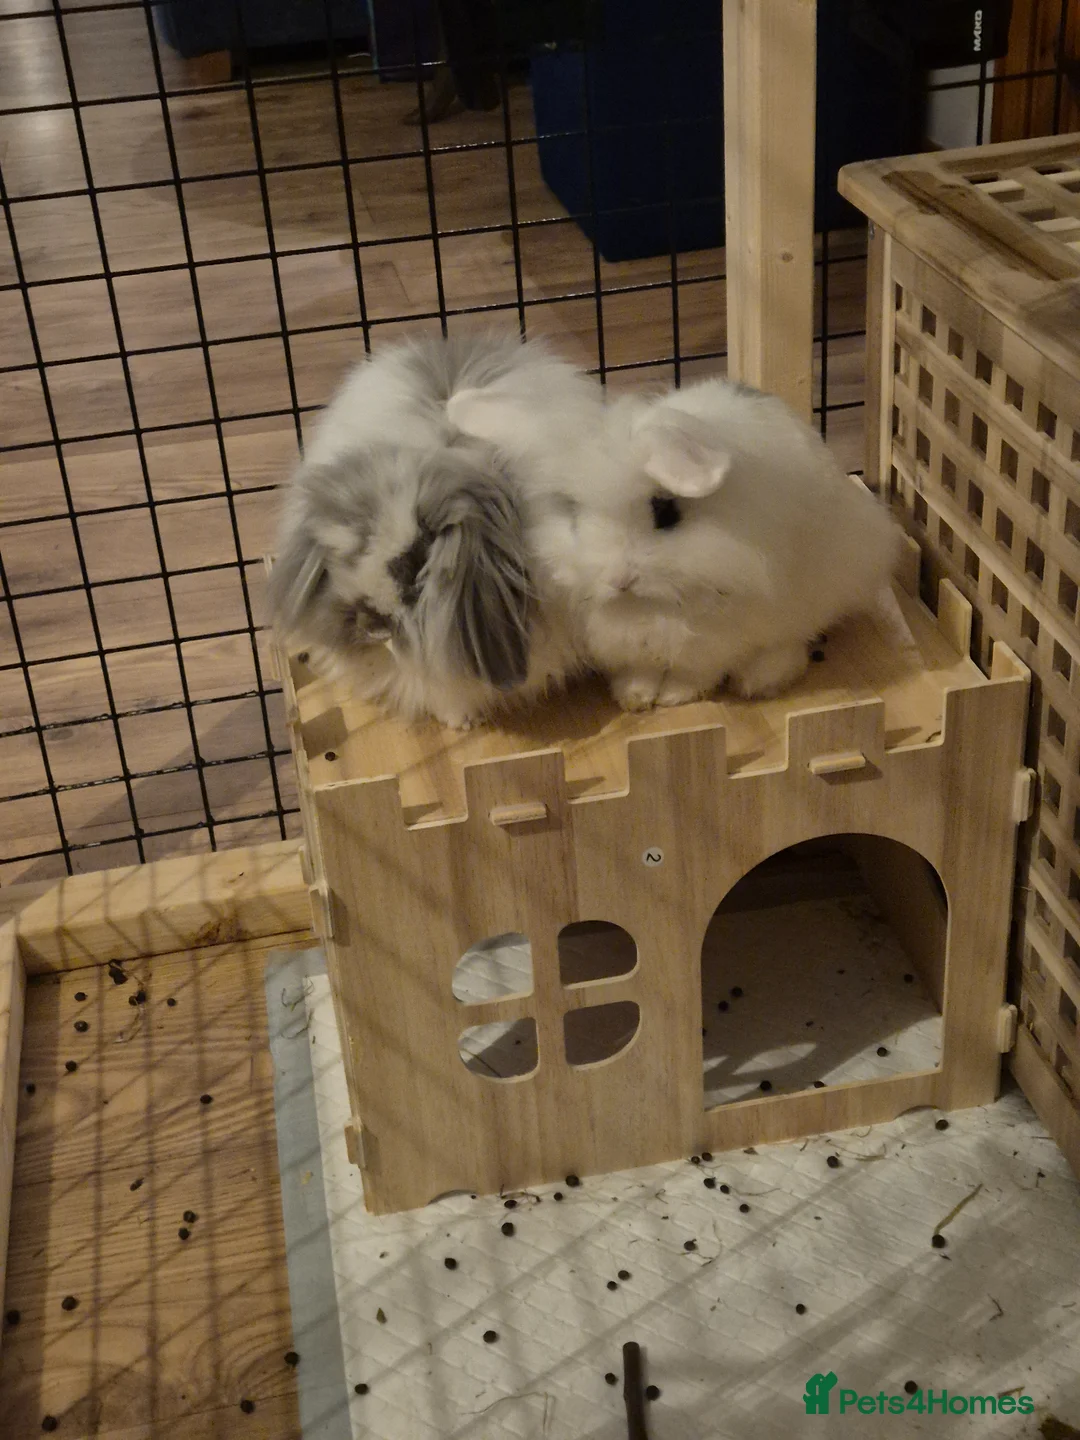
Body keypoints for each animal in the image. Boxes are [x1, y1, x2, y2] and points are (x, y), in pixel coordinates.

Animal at [452, 373, 902, 711]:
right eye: (572, 511)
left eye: (666, 512)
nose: (619, 579)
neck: (651, 607)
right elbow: (640, 670)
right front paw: (634, 698)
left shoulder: (717, 637)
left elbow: (695, 671)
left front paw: (673, 698)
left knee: (795, 637)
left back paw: (759, 680)